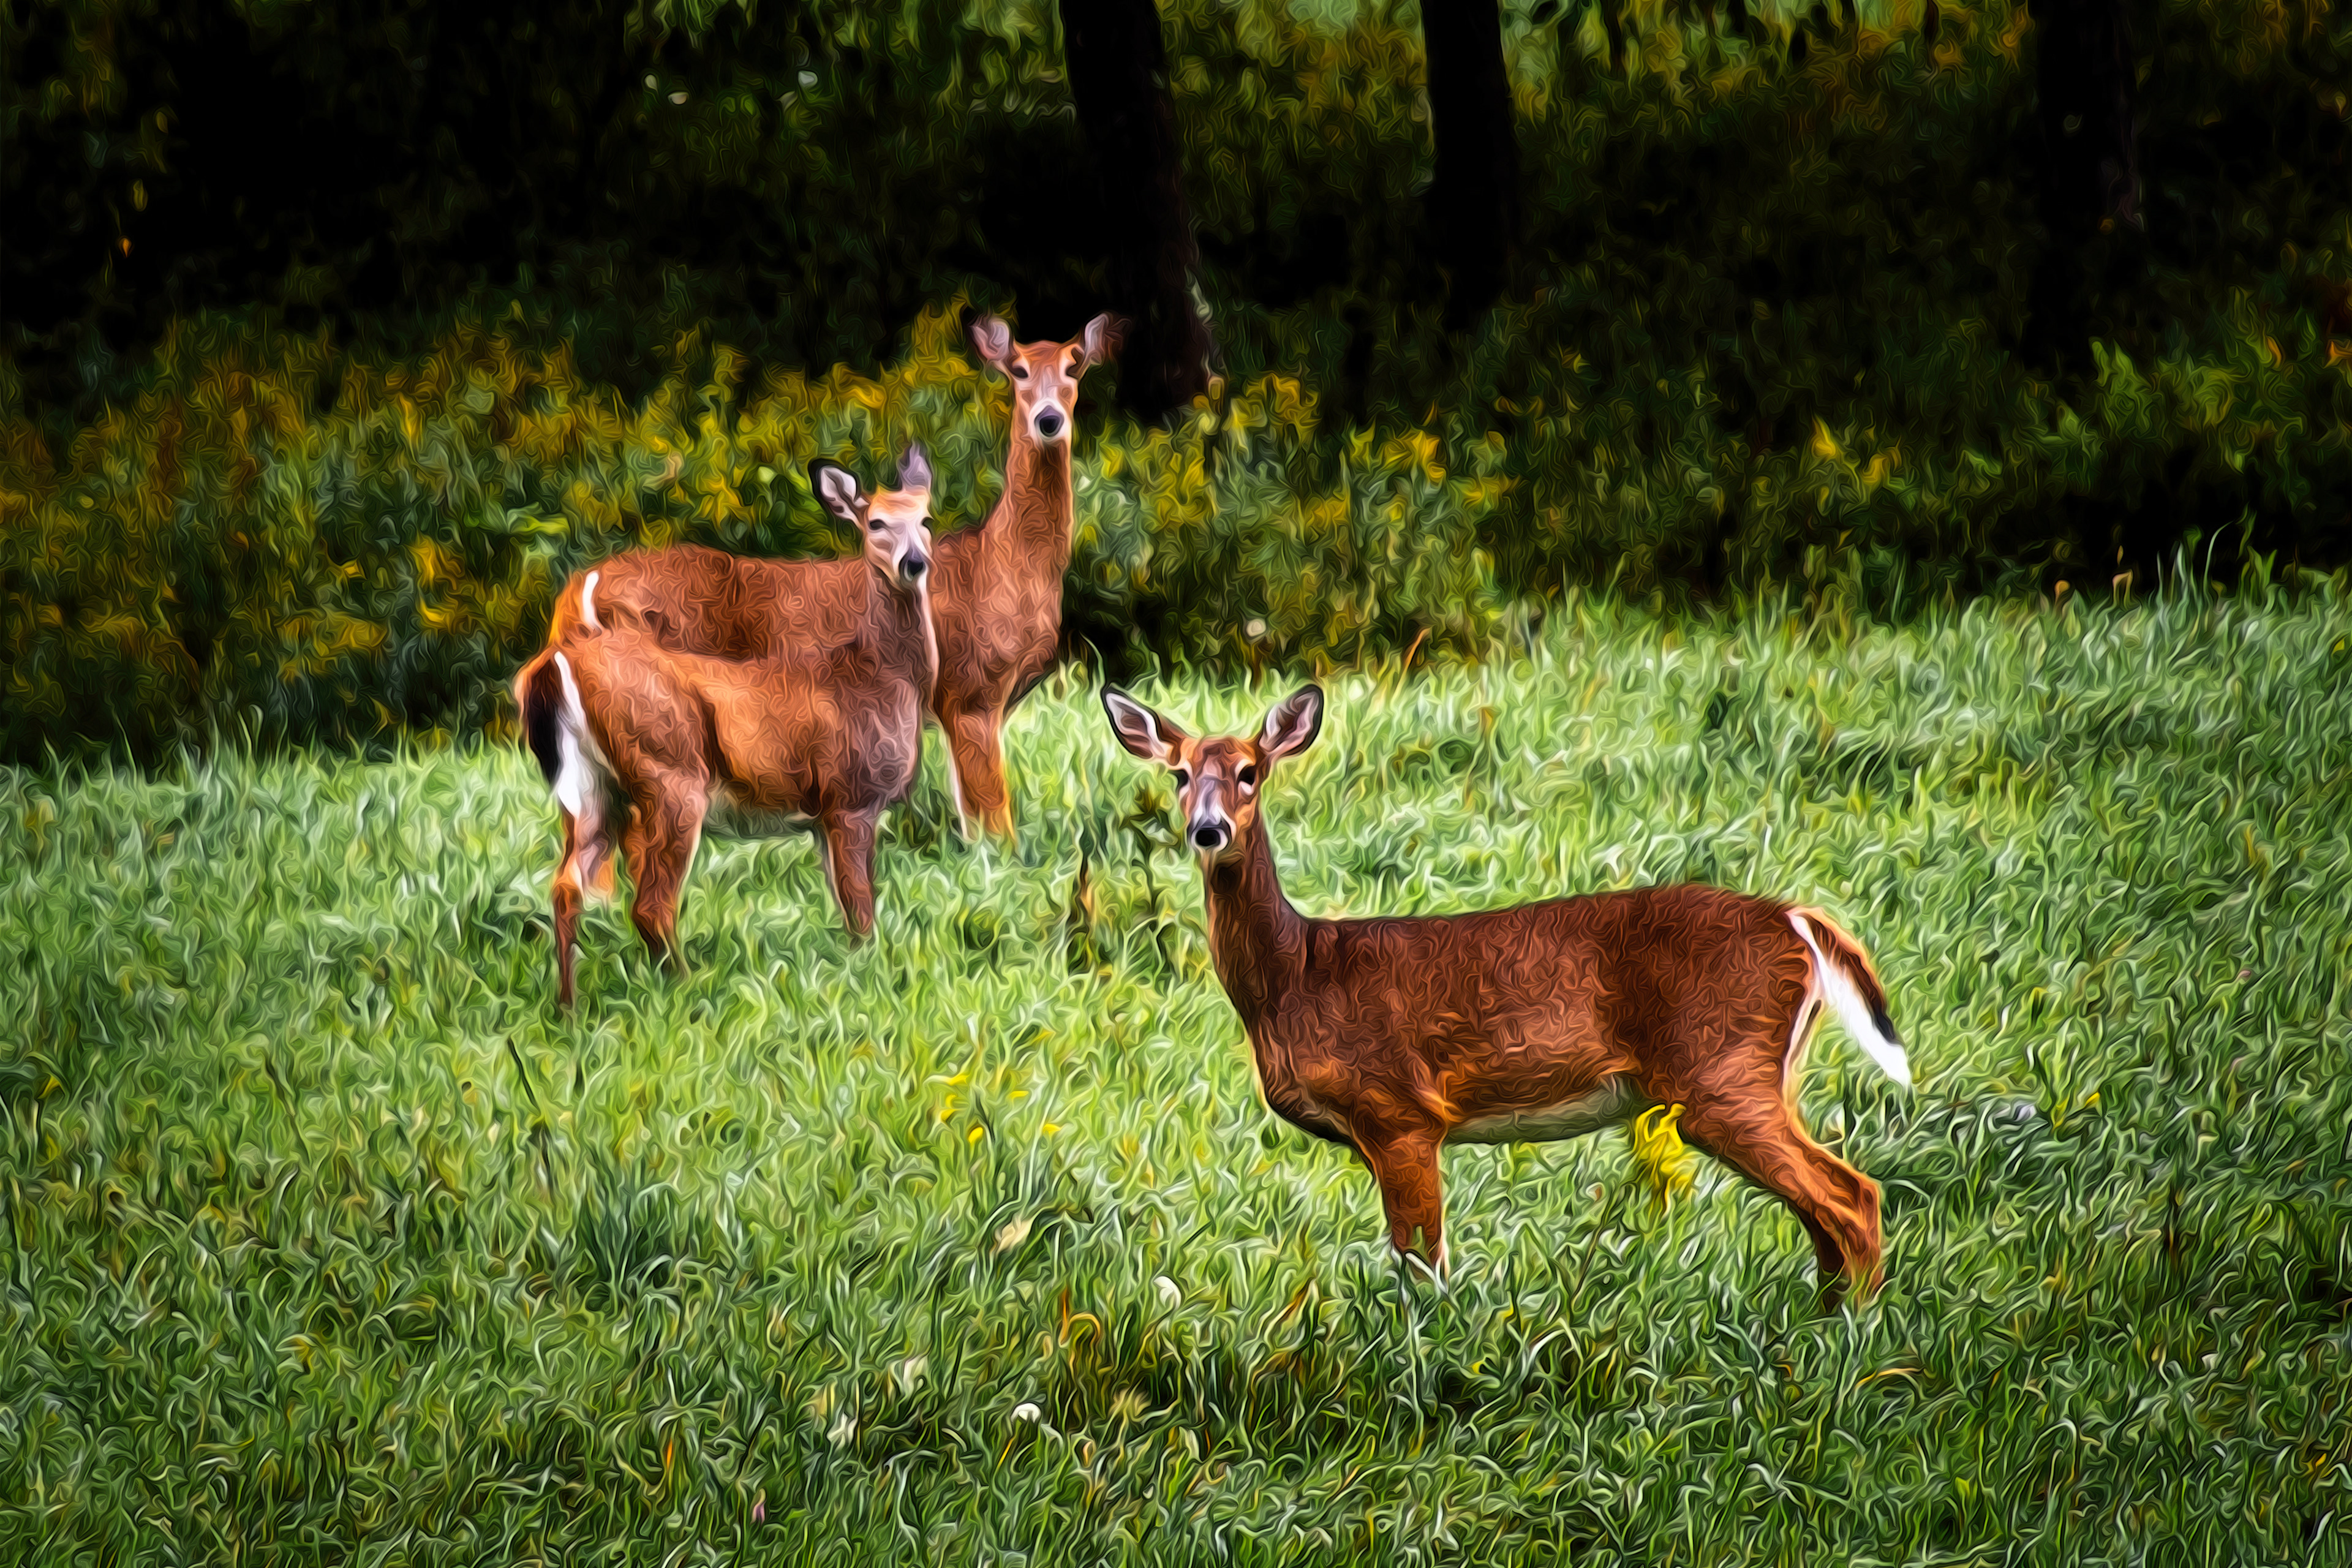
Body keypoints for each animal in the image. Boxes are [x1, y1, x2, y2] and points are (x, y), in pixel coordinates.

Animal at [513, 449, 938, 1008]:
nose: (915, 563)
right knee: (649, 902)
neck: (884, 680)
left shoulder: (823, 814)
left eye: (927, 519)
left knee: (567, 887)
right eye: (876, 523)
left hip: (591, 788)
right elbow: (862, 909)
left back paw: (569, 1006)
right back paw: (687, 988)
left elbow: (848, 909)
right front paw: (869, 978)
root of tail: (557, 660)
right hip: (670, 773)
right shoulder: (849, 797)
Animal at [536, 311, 1123, 843]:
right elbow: (992, 814)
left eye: (1074, 365)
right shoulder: (969, 692)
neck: (1006, 564)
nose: (1048, 419)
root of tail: (577, 593)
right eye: (1018, 370)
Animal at [1099, 683, 1915, 1308]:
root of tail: (1798, 921)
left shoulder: (1402, 1111)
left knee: (1852, 1198)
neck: (1299, 975)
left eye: (1249, 771)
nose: (1208, 830)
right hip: (1758, 1073)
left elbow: (1421, 1263)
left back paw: (1855, 1337)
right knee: (1825, 1213)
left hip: (1723, 1070)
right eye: (1178, 774)